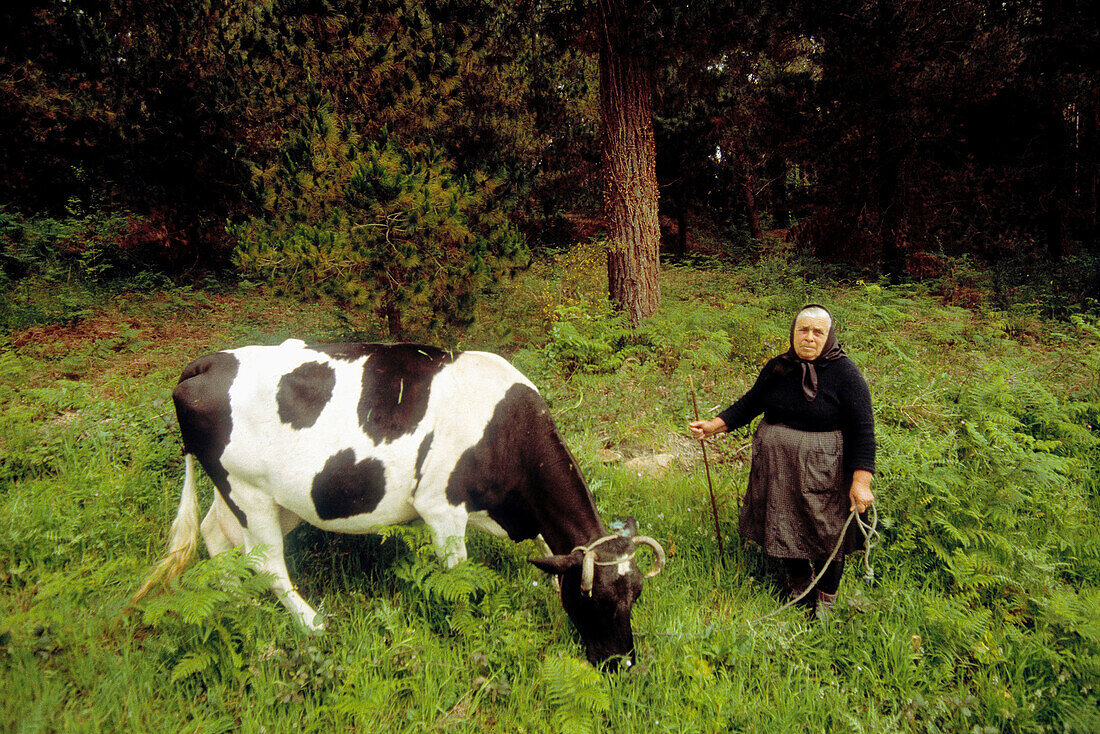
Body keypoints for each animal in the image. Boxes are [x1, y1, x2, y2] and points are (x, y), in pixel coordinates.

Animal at [128, 341, 660, 669]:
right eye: (597, 600)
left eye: (635, 596)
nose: (623, 664)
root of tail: (209, 361)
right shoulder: (441, 507)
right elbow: (459, 578)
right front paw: (469, 630)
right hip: (249, 491)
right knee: (267, 564)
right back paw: (313, 624)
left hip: (253, 494)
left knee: (218, 540)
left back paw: (240, 605)